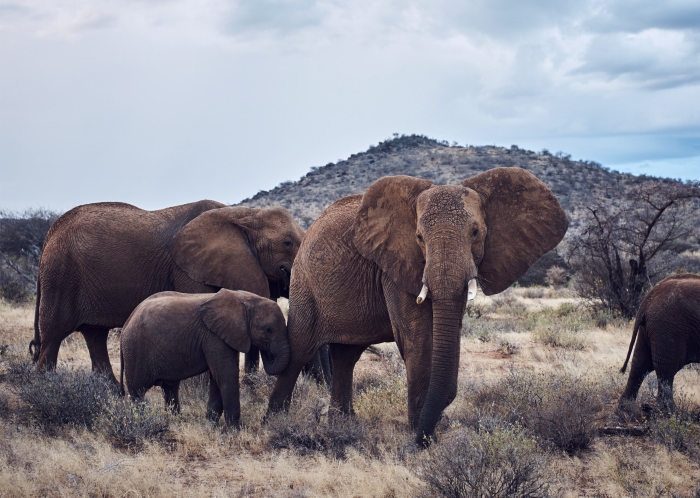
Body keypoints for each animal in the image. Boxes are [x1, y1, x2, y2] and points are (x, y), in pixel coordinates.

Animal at [31, 198, 304, 382]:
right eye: (287, 243)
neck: (245, 215)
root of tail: (50, 232)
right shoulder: (185, 269)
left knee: (95, 335)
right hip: (60, 275)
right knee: (53, 337)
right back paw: (45, 388)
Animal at [120, 288, 290, 428]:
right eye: (268, 330)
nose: (268, 352)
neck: (243, 299)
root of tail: (126, 323)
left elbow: (217, 378)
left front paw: (210, 426)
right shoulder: (214, 337)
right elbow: (226, 376)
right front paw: (235, 429)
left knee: (170, 389)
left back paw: (177, 422)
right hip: (135, 350)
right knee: (138, 392)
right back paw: (142, 423)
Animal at [268, 167, 568, 444]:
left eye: (475, 232)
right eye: (420, 237)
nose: (423, 438)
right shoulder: (395, 265)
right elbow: (418, 338)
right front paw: (420, 436)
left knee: (346, 356)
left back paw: (341, 426)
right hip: (304, 283)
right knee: (300, 350)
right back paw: (274, 422)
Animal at [616, 274, 700, 410]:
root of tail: (651, 295)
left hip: (649, 328)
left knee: (640, 365)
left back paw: (625, 408)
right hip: (669, 327)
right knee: (666, 371)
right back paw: (674, 413)